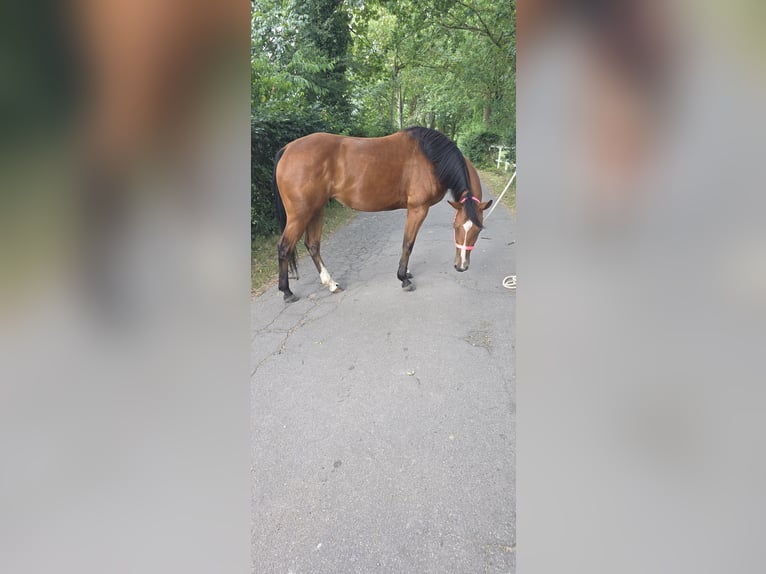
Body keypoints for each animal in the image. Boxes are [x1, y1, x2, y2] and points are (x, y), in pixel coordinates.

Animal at [272, 127, 493, 302]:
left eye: (478, 230)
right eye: (455, 227)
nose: (461, 266)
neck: (432, 158)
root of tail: (288, 149)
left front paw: (406, 273)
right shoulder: (418, 208)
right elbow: (408, 243)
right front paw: (404, 278)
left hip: (316, 209)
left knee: (313, 245)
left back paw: (331, 283)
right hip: (300, 214)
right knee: (284, 247)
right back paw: (287, 292)